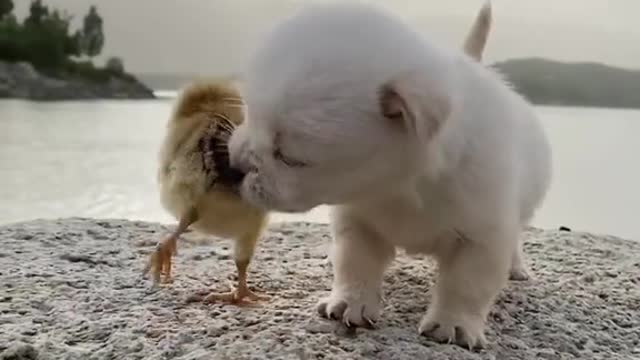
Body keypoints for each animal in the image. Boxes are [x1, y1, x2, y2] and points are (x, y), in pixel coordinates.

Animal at [229, 0, 552, 348]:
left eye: (290, 158)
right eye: (247, 118)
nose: (233, 164)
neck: (395, 186)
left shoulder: (481, 237)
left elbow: (465, 285)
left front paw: (453, 323)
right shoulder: (358, 222)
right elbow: (355, 264)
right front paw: (351, 303)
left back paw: (516, 268)